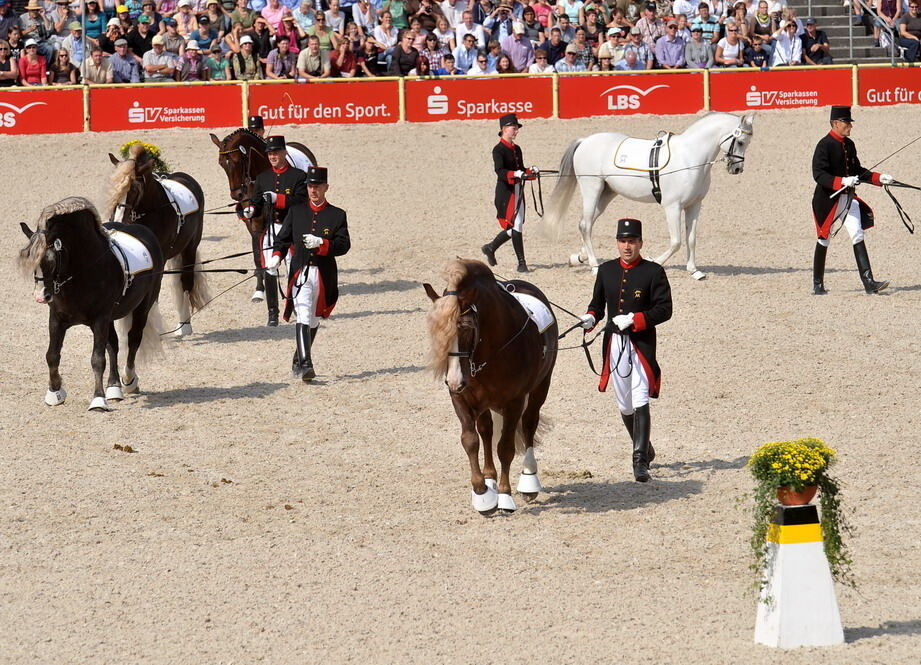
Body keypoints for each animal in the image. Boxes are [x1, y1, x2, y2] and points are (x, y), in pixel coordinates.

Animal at [18, 196, 164, 410]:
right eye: (30, 260)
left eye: (50, 260)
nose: (40, 296)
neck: (83, 270)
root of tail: (145, 232)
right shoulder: (57, 319)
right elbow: (52, 355)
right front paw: (55, 392)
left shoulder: (99, 319)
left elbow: (97, 359)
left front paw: (98, 400)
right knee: (113, 345)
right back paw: (114, 388)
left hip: (142, 306)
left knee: (133, 339)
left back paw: (129, 380)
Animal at [106, 142, 207, 334]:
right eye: (114, 190)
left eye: (134, 189)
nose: (119, 219)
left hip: (189, 248)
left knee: (185, 282)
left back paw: (185, 326)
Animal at [422, 258, 556, 512]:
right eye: (441, 334)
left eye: (466, 330)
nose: (454, 380)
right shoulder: (461, 398)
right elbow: (470, 440)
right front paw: (482, 493)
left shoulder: (514, 401)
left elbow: (505, 447)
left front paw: (504, 495)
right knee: (485, 430)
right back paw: (490, 479)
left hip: (540, 387)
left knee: (529, 424)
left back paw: (529, 481)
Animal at [540, 111, 756, 278]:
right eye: (741, 142)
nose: (737, 169)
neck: (690, 158)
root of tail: (584, 141)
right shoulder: (672, 206)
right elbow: (676, 241)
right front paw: (655, 261)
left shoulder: (694, 205)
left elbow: (691, 239)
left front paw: (694, 271)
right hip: (592, 188)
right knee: (585, 225)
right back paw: (594, 266)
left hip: (606, 193)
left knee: (586, 223)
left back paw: (579, 258)